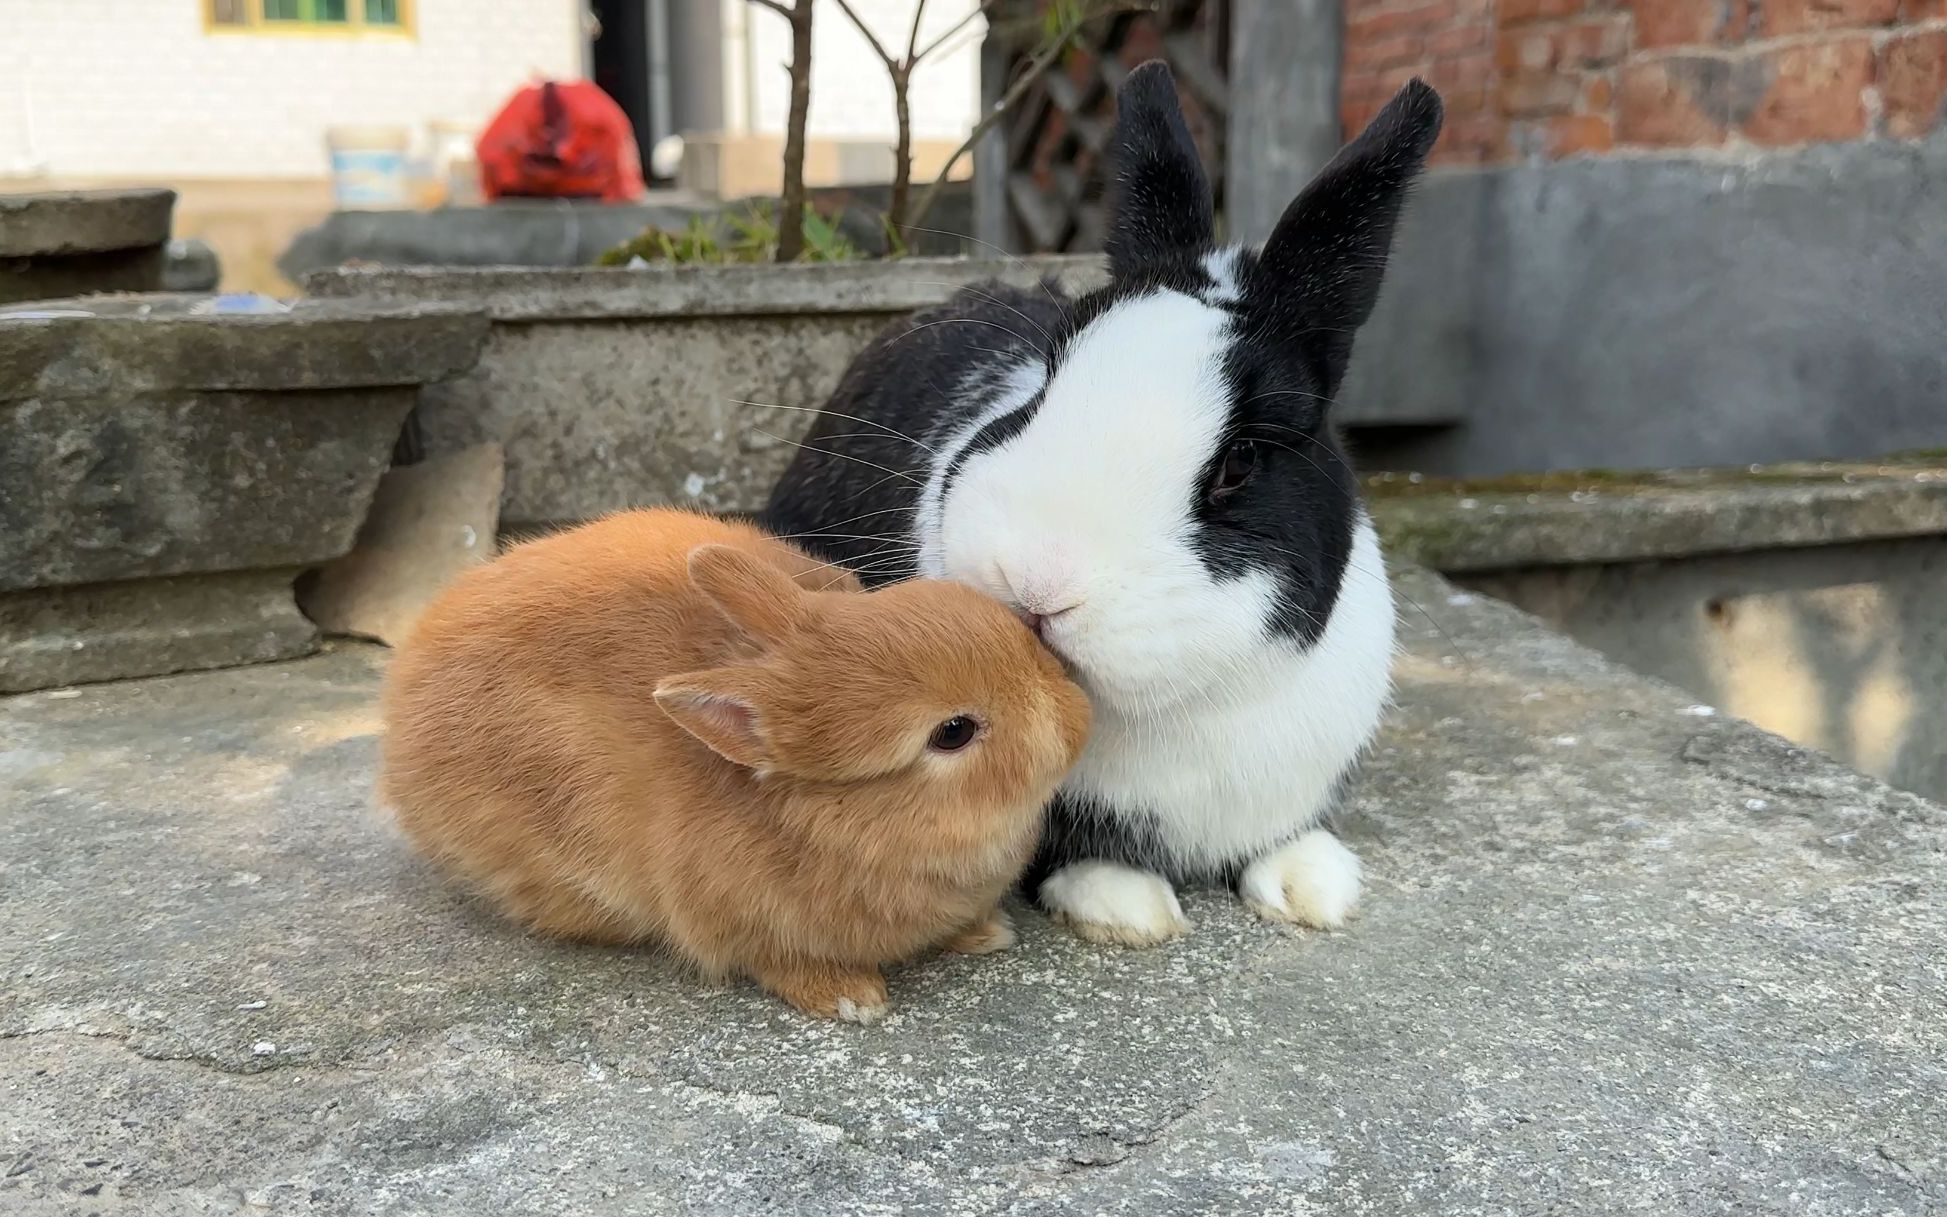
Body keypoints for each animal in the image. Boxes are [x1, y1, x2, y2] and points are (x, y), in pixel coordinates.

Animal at [371, 506, 1090, 1020]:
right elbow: (774, 960)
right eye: (953, 732)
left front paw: (985, 933)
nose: (1079, 719)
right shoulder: (734, 922)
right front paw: (851, 999)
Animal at [759, 61, 1448, 946]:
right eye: (1042, 387)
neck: (1184, 707)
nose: (1035, 582)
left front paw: (1312, 884)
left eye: (1239, 461)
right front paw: (1125, 906)